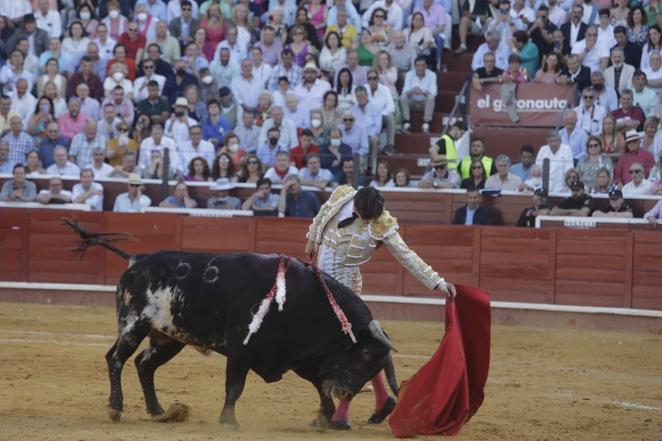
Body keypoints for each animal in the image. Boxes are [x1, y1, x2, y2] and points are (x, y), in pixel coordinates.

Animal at [65, 219, 400, 426]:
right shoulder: (242, 346)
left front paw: (326, 418)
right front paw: (229, 420)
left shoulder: (304, 357)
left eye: (375, 366)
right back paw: (115, 407)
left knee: (145, 365)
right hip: (134, 325)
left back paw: (159, 411)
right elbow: (235, 385)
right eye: (365, 354)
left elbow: (319, 385)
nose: (345, 393)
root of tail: (137, 260)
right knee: (116, 359)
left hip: (169, 336)